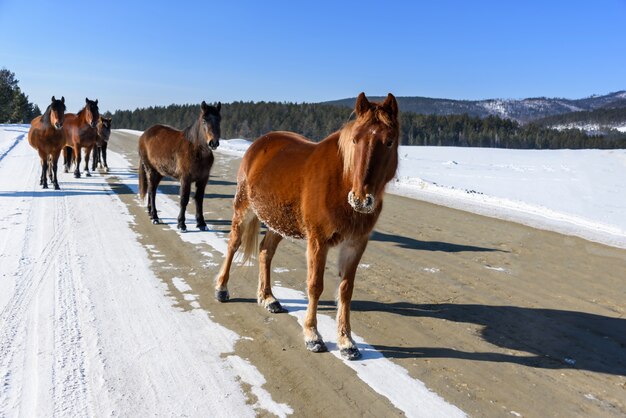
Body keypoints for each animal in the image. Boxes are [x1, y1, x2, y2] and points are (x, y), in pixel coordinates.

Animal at [138, 101, 221, 232]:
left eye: (219, 119)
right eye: (204, 120)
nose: (213, 143)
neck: (196, 150)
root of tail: (144, 135)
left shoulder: (203, 179)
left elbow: (199, 199)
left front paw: (201, 223)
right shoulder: (185, 178)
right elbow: (184, 199)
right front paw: (181, 224)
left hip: (159, 172)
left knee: (152, 190)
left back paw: (150, 213)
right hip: (151, 170)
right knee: (152, 191)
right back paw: (155, 217)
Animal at [217, 92, 398, 360]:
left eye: (389, 142)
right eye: (355, 139)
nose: (360, 199)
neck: (340, 181)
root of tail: (259, 143)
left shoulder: (356, 244)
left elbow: (346, 290)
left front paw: (346, 342)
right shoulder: (318, 241)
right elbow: (315, 286)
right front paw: (313, 336)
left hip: (278, 222)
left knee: (265, 252)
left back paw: (268, 298)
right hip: (244, 210)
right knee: (233, 245)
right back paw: (222, 289)